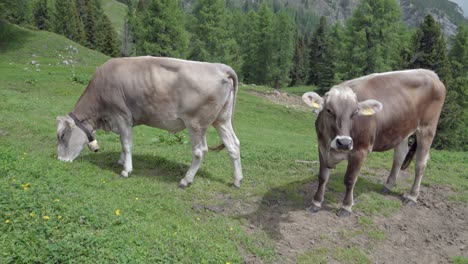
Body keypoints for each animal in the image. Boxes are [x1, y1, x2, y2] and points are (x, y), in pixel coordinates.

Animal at [56, 56, 243, 188]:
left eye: (63, 135)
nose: (60, 160)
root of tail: (219, 67)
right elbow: (123, 142)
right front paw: (121, 161)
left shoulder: (122, 116)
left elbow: (126, 144)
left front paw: (126, 170)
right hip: (222, 119)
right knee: (233, 145)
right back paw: (237, 180)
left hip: (196, 123)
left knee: (200, 151)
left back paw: (186, 180)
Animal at [304, 69, 446, 217]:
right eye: (329, 110)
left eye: (355, 113)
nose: (344, 142)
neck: (331, 147)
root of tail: (430, 73)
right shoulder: (322, 146)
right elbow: (322, 177)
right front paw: (316, 203)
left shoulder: (360, 151)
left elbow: (350, 179)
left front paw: (346, 207)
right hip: (402, 128)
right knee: (399, 156)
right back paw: (388, 186)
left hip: (427, 128)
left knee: (420, 163)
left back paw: (412, 196)